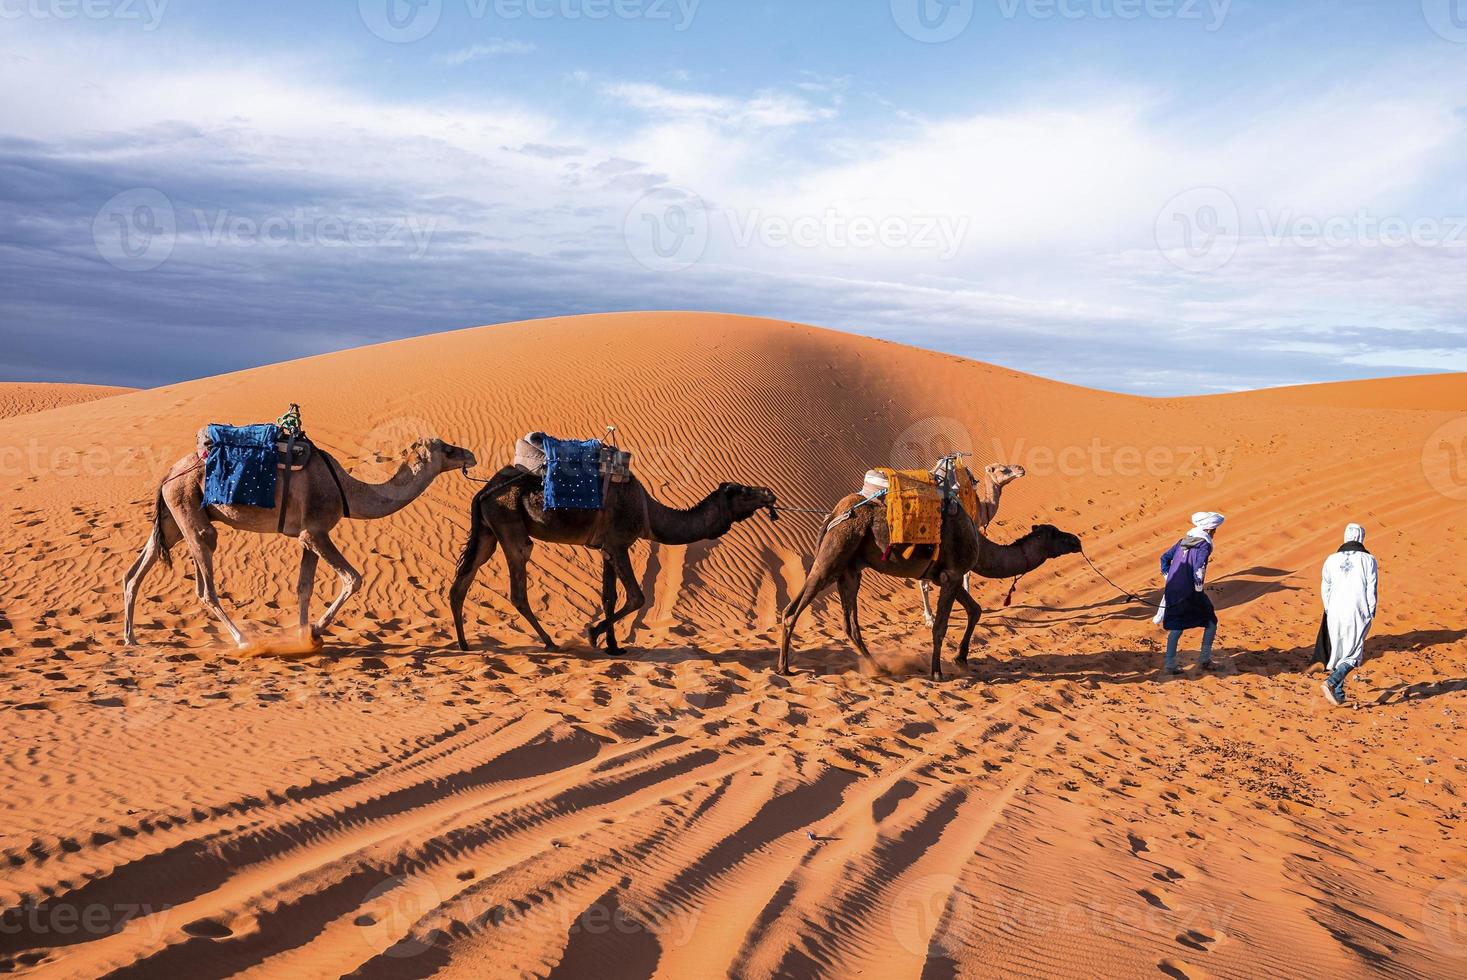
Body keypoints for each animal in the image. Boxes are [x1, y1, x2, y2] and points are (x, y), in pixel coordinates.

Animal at [451, 469, 780, 654]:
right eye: (742, 491)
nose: (769, 493)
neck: (648, 514)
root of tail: (483, 491)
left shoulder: (606, 548)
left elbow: (608, 596)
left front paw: (613, 647)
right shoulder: (619, 544)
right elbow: (636, 597)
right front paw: (593, 634)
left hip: (488, 531)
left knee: (461, 583)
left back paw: (464, 644)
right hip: (510, 525)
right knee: (518, 586)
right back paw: (550, 642)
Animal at [780, 487, 1079, 677]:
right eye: (1056, 534)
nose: (1076, 540)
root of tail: (834, 514)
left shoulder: (946, 576)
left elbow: (975, 610)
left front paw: (961, 659)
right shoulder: (953, 575)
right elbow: (940, 626)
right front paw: (937, 672)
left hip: (849, 568)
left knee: (847, 623)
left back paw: (880, 668)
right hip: (836, 551)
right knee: (794, 609)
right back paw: (785, 668)